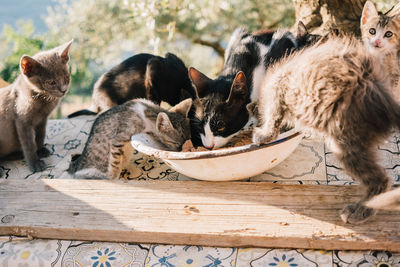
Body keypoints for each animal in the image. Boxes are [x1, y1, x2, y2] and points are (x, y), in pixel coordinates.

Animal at [0, 39, 72, 174]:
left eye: (66, 77)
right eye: (51, 82)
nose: (63, 90)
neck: (43, 99)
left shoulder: (42, 119)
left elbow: (40, 135)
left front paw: (40, 150)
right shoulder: (22, 121)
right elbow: (29, 144)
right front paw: (35, 163)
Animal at [253, 34, 400, 225]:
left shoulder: (278, 88)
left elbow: (272, 118)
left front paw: (263, 135)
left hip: (345, 141)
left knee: (380, 179)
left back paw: (359, 211)